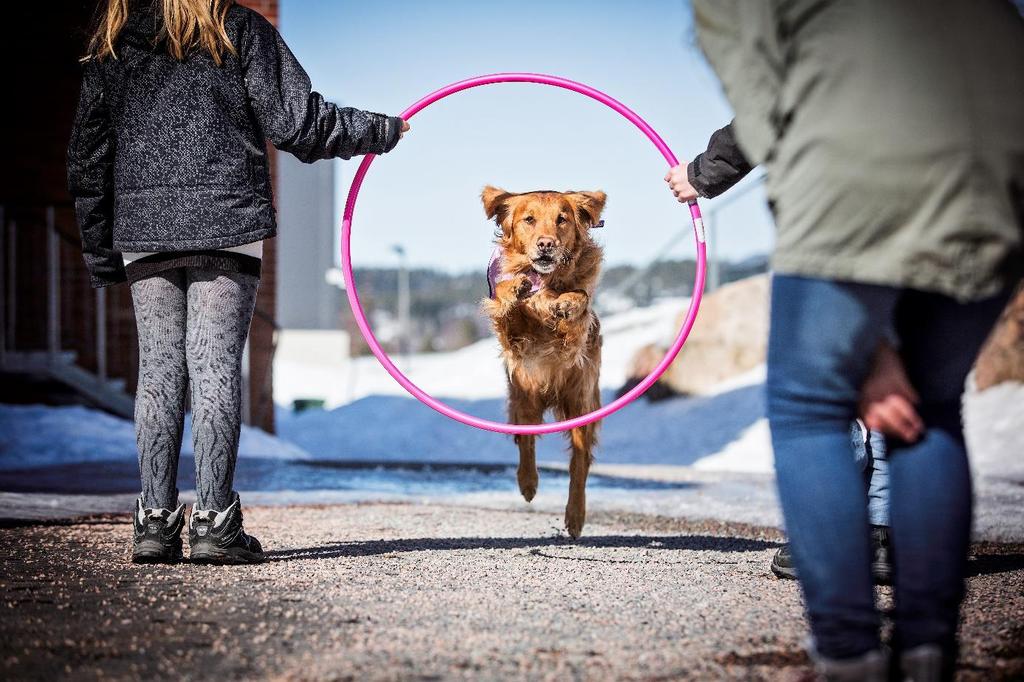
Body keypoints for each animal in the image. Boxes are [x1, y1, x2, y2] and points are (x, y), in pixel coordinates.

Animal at [481, 184, 606, 536]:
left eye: (562, 219)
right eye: (529, 219)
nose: (546, 245)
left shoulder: (576, 338)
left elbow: (578, 300)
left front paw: (564, 303)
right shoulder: (513, 336)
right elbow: (510, 301)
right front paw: (518, 288)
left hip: (581, 404)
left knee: (579, 464)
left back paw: (575, 516)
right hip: (523, 398)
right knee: (526, 442)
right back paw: (528, 483)